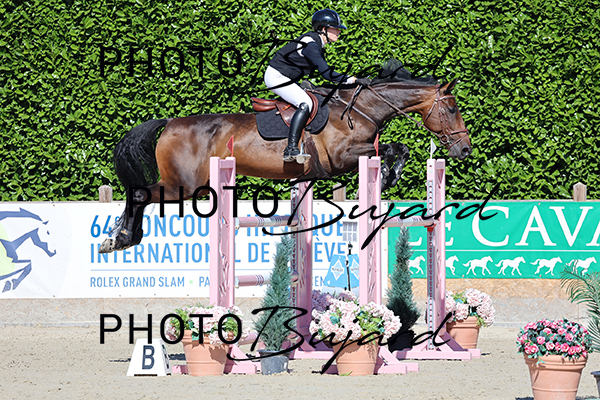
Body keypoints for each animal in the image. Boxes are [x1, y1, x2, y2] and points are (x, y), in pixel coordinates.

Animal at [99, 63, 472, 254]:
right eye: (453, 108)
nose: (465, 149)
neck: (361, 109)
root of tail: (169, 122)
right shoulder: (342, 157)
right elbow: (393, 148)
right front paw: (389, 176)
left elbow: (398, 148)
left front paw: (390, 177)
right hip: (184, 185)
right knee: (140, 193)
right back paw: (119, 239)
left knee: (140, 194)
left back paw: (120, 237)